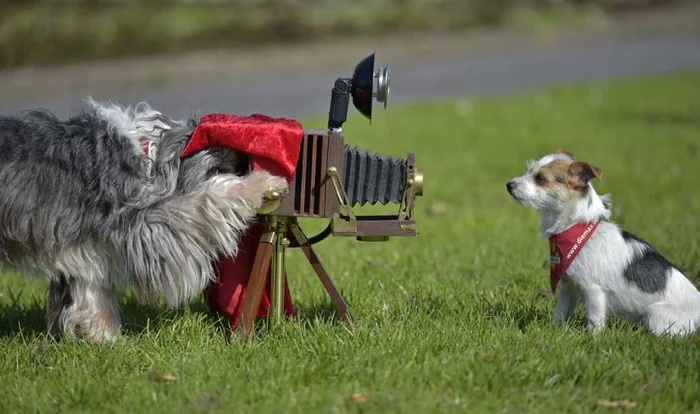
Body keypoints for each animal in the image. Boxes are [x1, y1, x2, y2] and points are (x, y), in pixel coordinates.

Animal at [0, 100, 288, 342]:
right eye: (214, 169)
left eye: (239, 167)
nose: (244, 173)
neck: (146, 158)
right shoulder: (150, 230)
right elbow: (206, 200)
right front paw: (262, 184)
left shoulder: (87, 245)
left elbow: (92, 292)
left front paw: (103, 338)